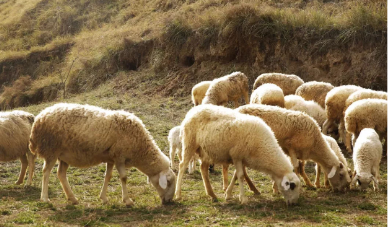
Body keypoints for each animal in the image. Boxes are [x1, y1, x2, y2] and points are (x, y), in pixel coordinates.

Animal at [29, 103, 177, 206]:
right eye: (169, 182)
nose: (170, 201)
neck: (140, 149)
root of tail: (39, 118)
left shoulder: (111, 158)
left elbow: (108, 176)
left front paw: (104, 198)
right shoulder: (119, 157)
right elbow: (124, 178)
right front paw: (127, 200)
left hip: (64, 155)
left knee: (61, 174)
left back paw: (73, 198)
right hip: (51, 149)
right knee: (46, 172)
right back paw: (45, 198)